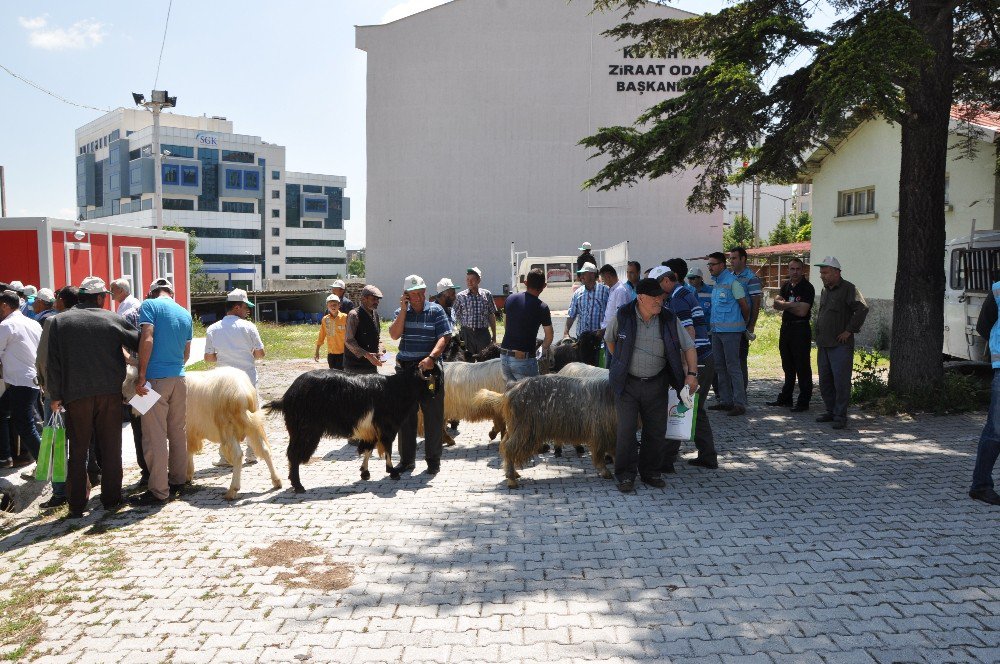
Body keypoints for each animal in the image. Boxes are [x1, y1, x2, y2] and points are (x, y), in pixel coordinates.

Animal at [125, 366, 284, 500]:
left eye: (133, 380)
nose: (124, 398)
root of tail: (243, 393)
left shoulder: (186, 429)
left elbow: (186, 451)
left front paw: (187, 475)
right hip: (252, 425)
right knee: (264, 449)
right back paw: (276, 481)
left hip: (228, 428)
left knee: (238, 455)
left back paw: (232, 490)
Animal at [264, 366, 440, 490]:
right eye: (428, 382)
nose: (434, 395)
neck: (395, 389)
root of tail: (287, 397)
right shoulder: (386, 427)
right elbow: (387, 448)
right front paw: (392, 472)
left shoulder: (370, 430)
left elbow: (368, 448)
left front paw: (365, 472)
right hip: (305, 431)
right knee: (293, 454)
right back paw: (298, 486)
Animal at [472, 374, 612, 488]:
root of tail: (512, 389)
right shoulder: (602, 433)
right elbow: (601, 454)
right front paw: (606, 471)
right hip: (525, 429)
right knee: (509, 448)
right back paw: (512, 480)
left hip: (516, 427)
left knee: (504, 444)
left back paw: (512, 473)